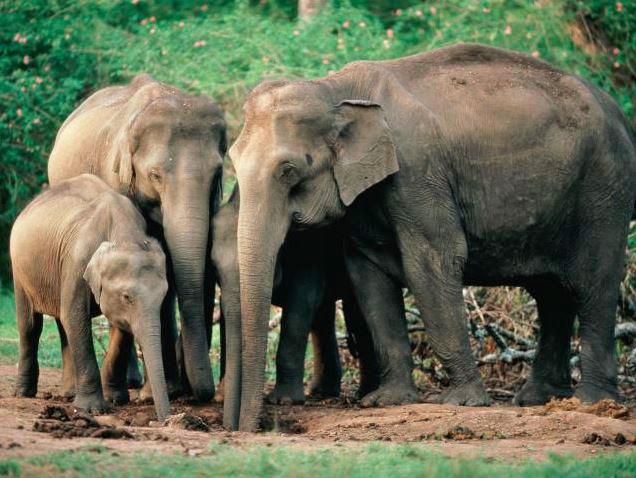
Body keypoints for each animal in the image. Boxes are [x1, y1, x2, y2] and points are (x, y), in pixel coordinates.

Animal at [10, 174, 169, 420]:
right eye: (127, 297)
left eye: (164, 296)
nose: (165, 419)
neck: (124, 235)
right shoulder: (76, 261)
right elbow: (76, 317)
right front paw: (92, 409)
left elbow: (119, 327)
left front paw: (115, 399)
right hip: (20, 270)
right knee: (30, 325)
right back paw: (23, 393)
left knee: (61, 323)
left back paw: (68, 394)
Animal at [47, 73, 226, 400]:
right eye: (155, 175)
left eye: (217, 174)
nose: (201, 392)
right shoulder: (116, 178)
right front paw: (153, 394)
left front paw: (167, 389)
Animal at [210, 184, 378, 408]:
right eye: (214, 267)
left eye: (277, 251)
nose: (220, 396)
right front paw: (222, 396)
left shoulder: (309, 244)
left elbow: (303, 299)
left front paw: (285, 400)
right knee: (324, 316)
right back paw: (322, 392)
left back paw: (364, 393)